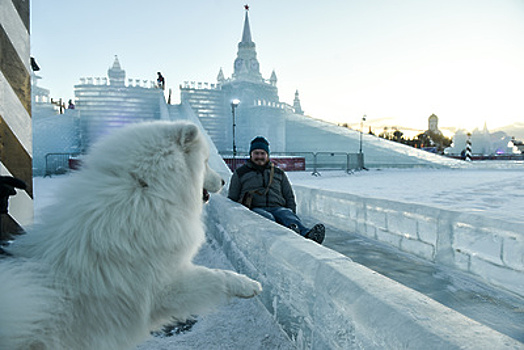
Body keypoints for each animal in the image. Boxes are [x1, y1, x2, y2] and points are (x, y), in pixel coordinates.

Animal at [0, 121, 262, 350]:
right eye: (205, 162)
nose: (224, 180)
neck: (145, 190)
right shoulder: (164, 287)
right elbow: (216, 276)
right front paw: (248, 284)